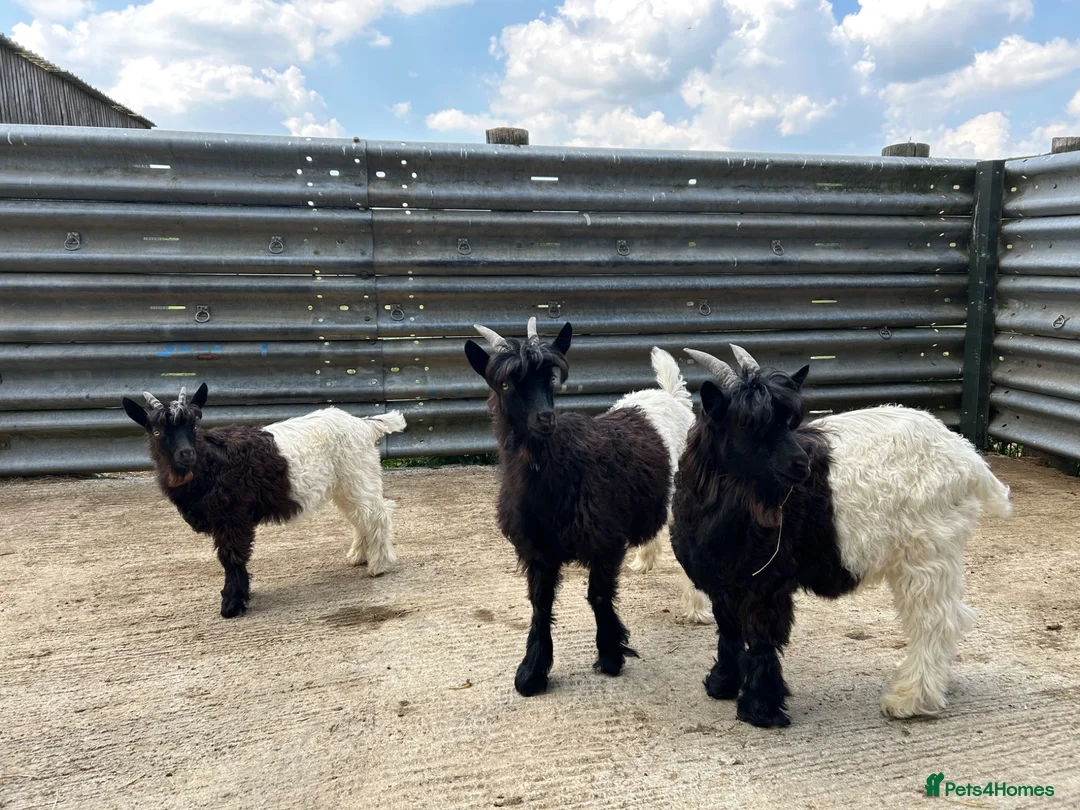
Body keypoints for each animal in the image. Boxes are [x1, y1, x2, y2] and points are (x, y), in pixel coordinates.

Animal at [122, 384, 406, 618]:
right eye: (157, 431)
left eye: (193, 426)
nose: (186, 454)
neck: (210, 461)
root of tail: (365, 425)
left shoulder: (233, 518)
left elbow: (231, 557)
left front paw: (232, 604)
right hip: (346, 485)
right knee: (361, 517)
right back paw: (360, 556)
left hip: (357, 475)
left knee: (378, 513)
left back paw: (378, 565)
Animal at [464, 318, 698, 695]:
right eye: (505, 384)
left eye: (550, 378)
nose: (545, 419)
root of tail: (671, 397)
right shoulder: (536, 549)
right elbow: (540, 604)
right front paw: (532, 672)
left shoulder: (605, 541)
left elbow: (598, 597)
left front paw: (611, 656)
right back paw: (645, 561)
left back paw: (698, 607)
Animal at [670, 345, 1011, 727]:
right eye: (747, 425)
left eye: (789, 420)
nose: (801, 465)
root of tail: (968, 458)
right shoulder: (720, 582)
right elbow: (728, 630)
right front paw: (722, 684)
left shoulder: (766, 583)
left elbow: (761, 639)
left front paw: (760, 709)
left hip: (928, 552)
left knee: (936, 622)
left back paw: (909, 699)